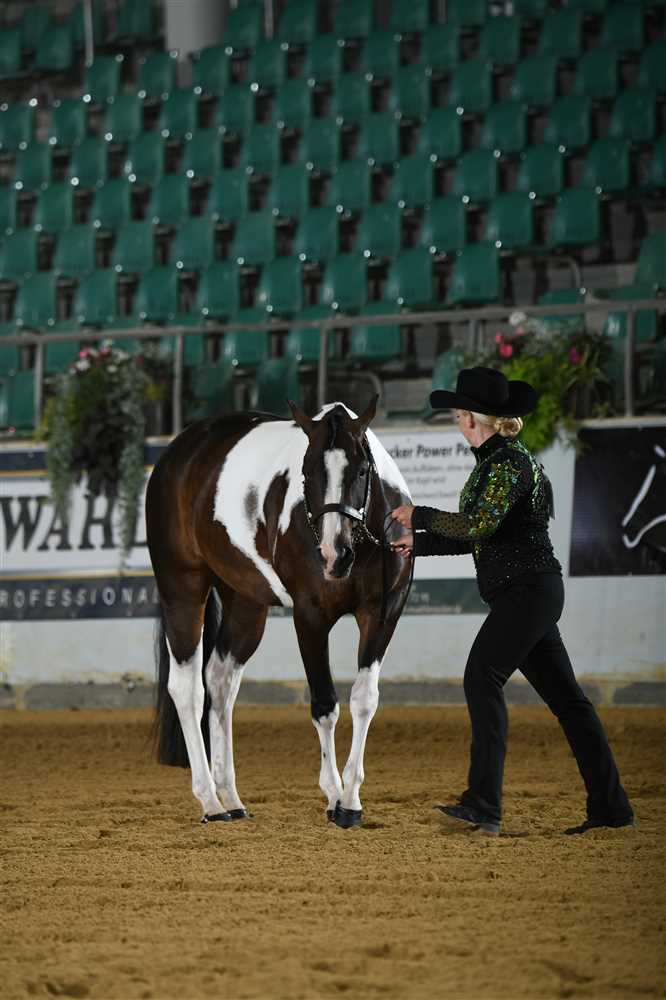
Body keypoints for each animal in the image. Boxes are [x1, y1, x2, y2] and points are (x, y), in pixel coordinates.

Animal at [146, 397, 414, 829]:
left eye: (361, 470)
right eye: (306, 472)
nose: (334, 554)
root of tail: (179, 451)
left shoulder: (384, 613)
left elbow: (364, 700)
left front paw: (351, 800)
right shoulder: (309, 616)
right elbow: (325, 705)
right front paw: (334, 796)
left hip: (245, 605)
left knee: (220, 682)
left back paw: (231, 797)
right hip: (182, 591)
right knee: (188, 689)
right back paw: (210, 802)